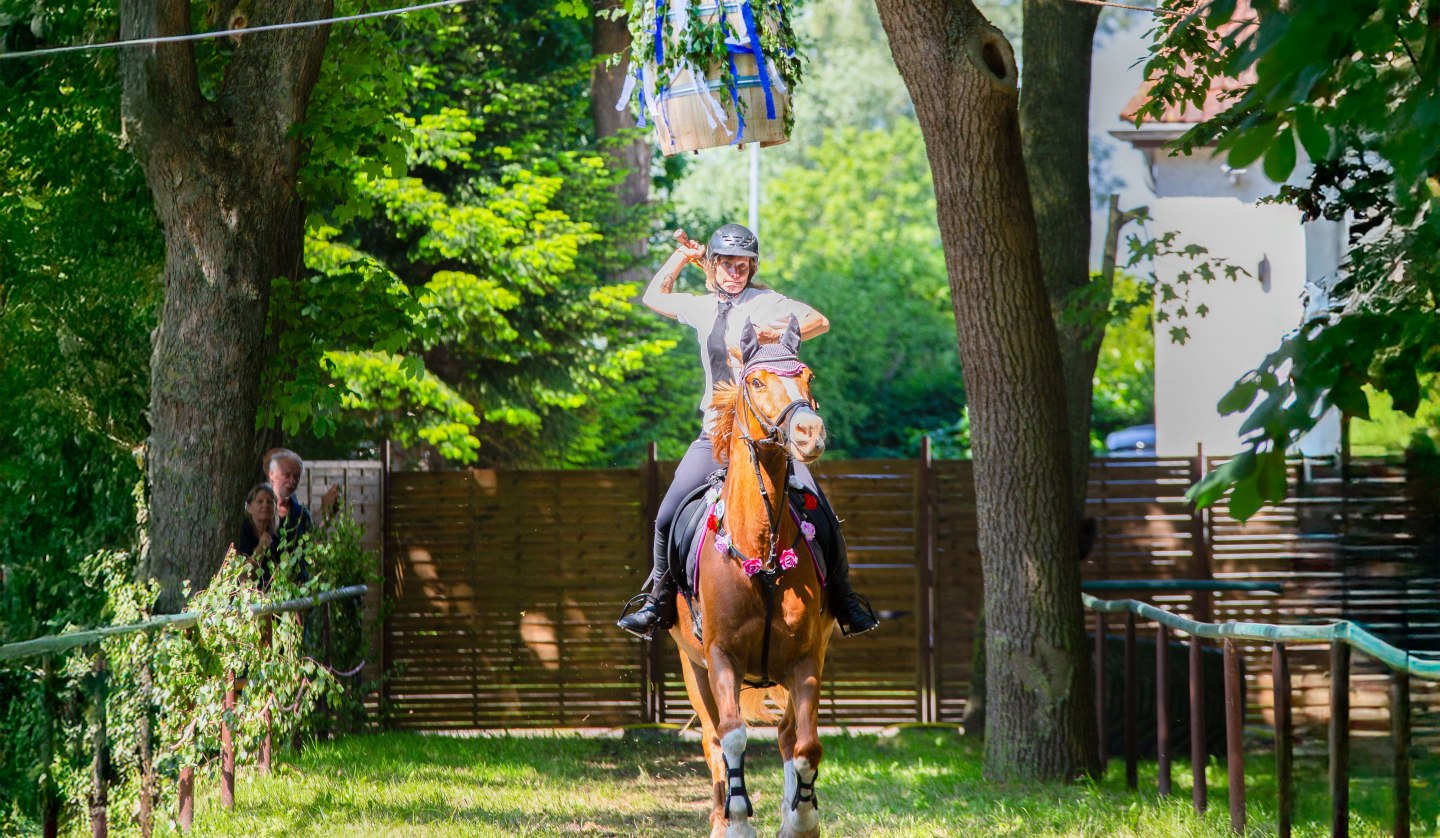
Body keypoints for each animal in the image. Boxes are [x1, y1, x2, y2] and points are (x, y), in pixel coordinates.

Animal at [673, 319, 835, 838]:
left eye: (808, 376)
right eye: (758, 382)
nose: (809, 433)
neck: (760, 549)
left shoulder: (805, 660)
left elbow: (805, 745)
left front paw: (802, 819)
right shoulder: (721, 658)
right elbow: (733, 738)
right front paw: (739, 821)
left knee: (787, 735)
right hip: (694, 668)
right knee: (712, 740)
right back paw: (721, 818)